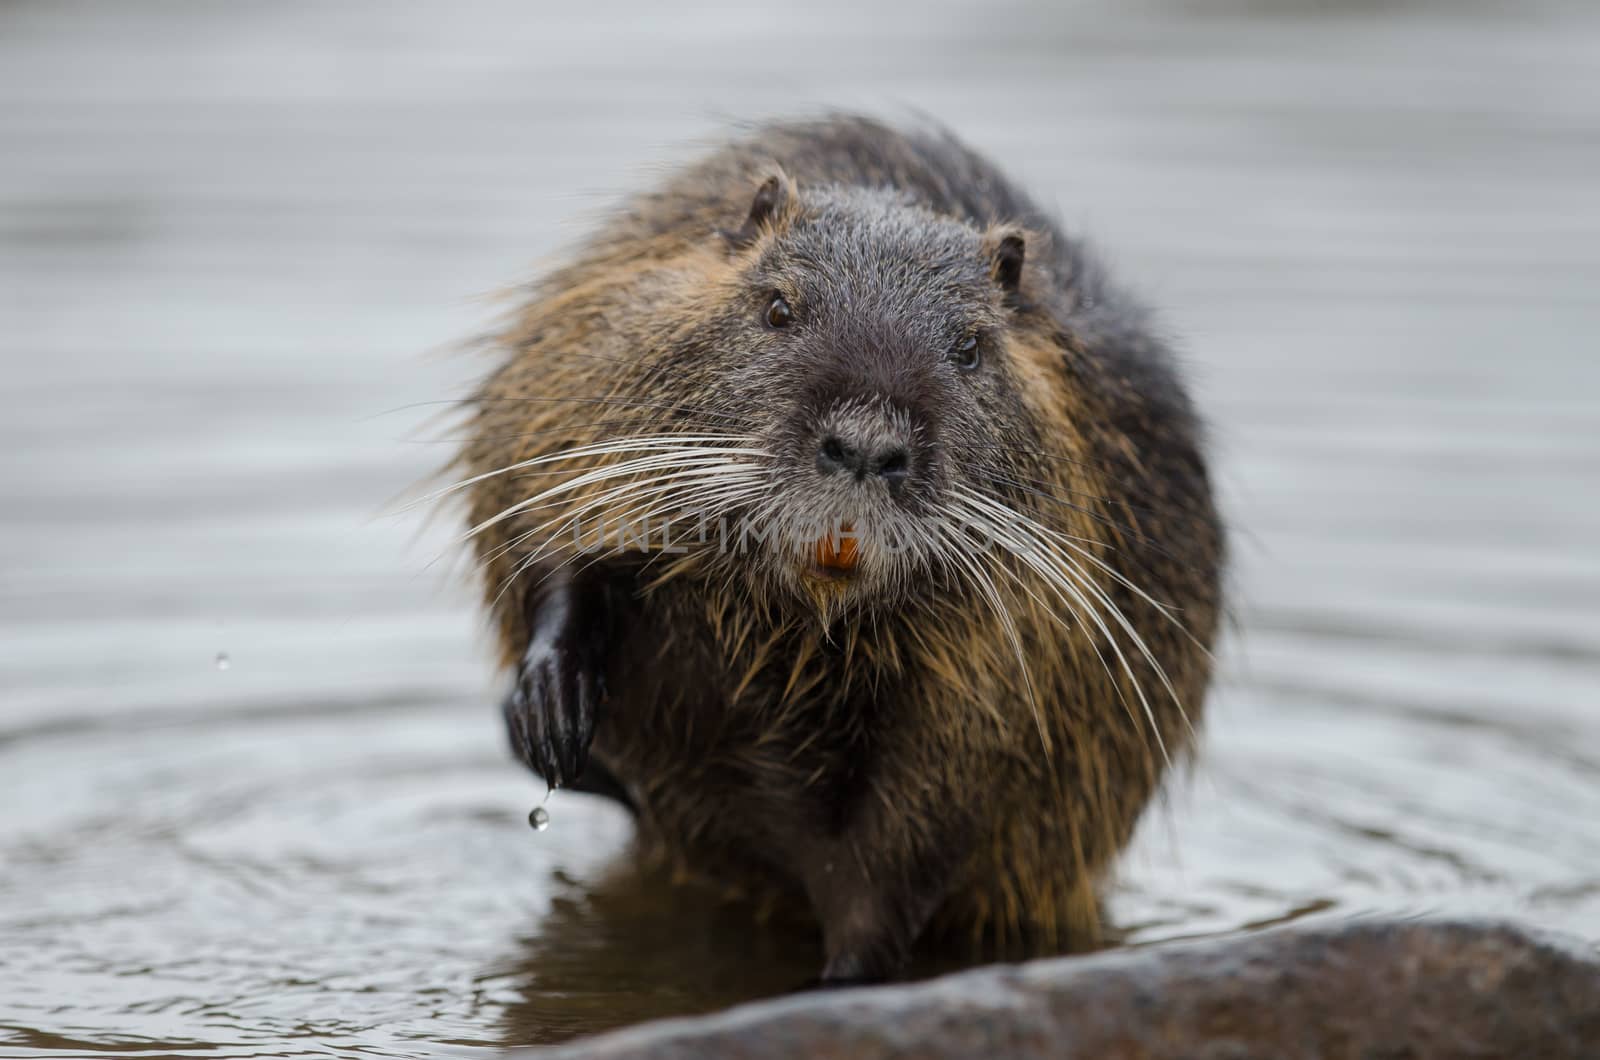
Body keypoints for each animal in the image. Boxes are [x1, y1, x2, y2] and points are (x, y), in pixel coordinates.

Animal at [451, 116, 1222, 986]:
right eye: (779, 307)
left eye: (970, 346)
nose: (864, 447)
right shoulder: (581, 381)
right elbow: (556, 541)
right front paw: (552, 710)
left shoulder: (994, 687)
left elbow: (904, 851)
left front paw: (846, 975)